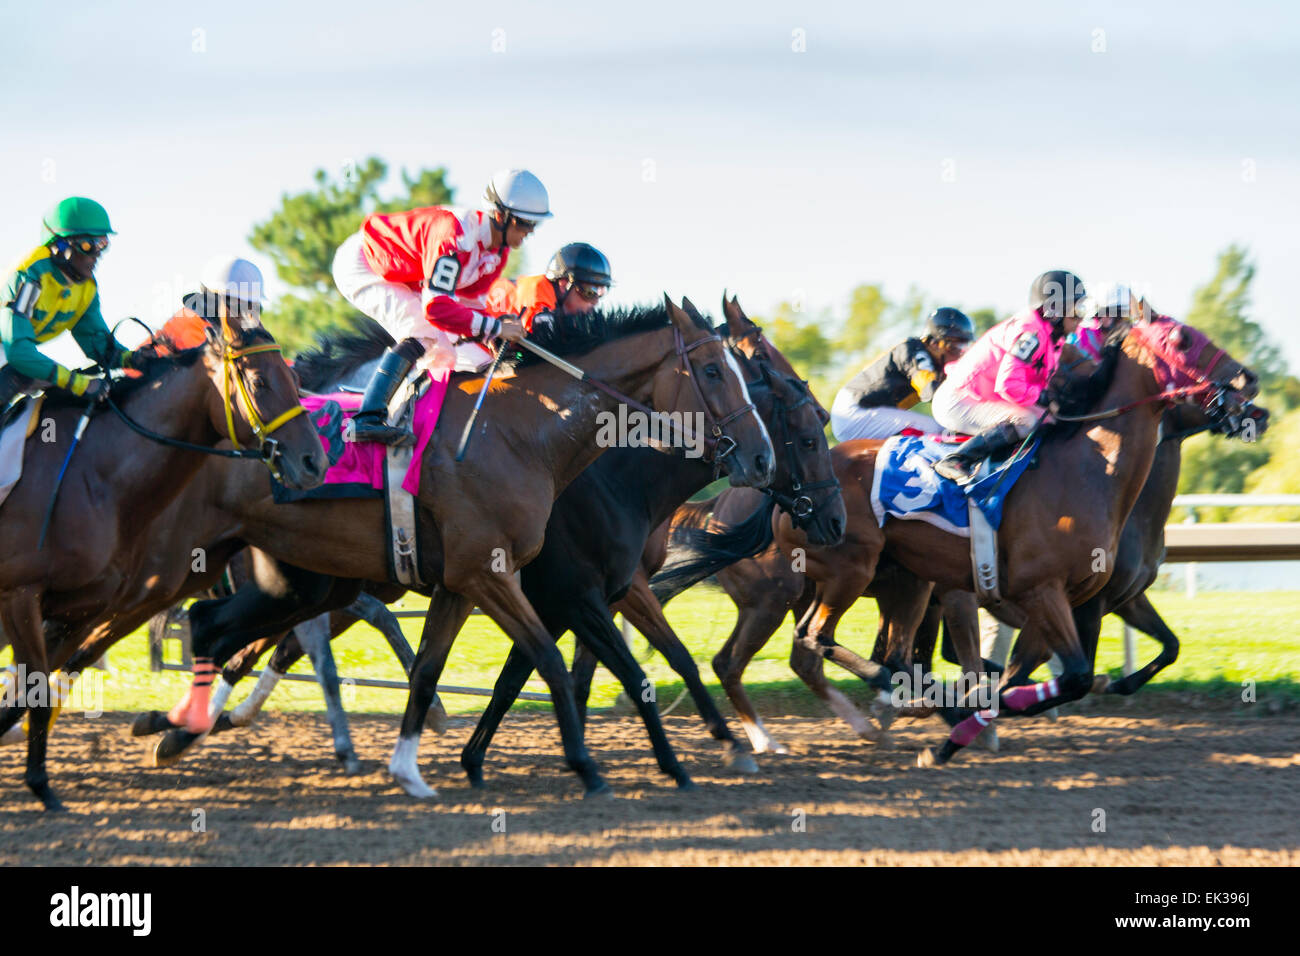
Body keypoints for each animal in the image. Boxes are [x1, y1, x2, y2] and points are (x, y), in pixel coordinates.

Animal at [0, 316, 325, 806]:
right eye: (259, 381)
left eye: (293, 376)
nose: (314, 462)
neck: (96, 478)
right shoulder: (21, 594)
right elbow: (35, 682)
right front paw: (39, 781)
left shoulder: (87, 607)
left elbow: (38, 684)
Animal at [769, 317, 1258, 764]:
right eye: (1182, 339)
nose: (1247, 384)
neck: (1087, 472)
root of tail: (791, 492)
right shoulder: (1045, 592)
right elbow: (1064, 677)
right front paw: (962, 725)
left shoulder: (1065, 599)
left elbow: (1049, 676)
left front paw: (959, 733)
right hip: (852, 568)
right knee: (819, 637)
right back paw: (904, 696)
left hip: (905, 580)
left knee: (869, 649)